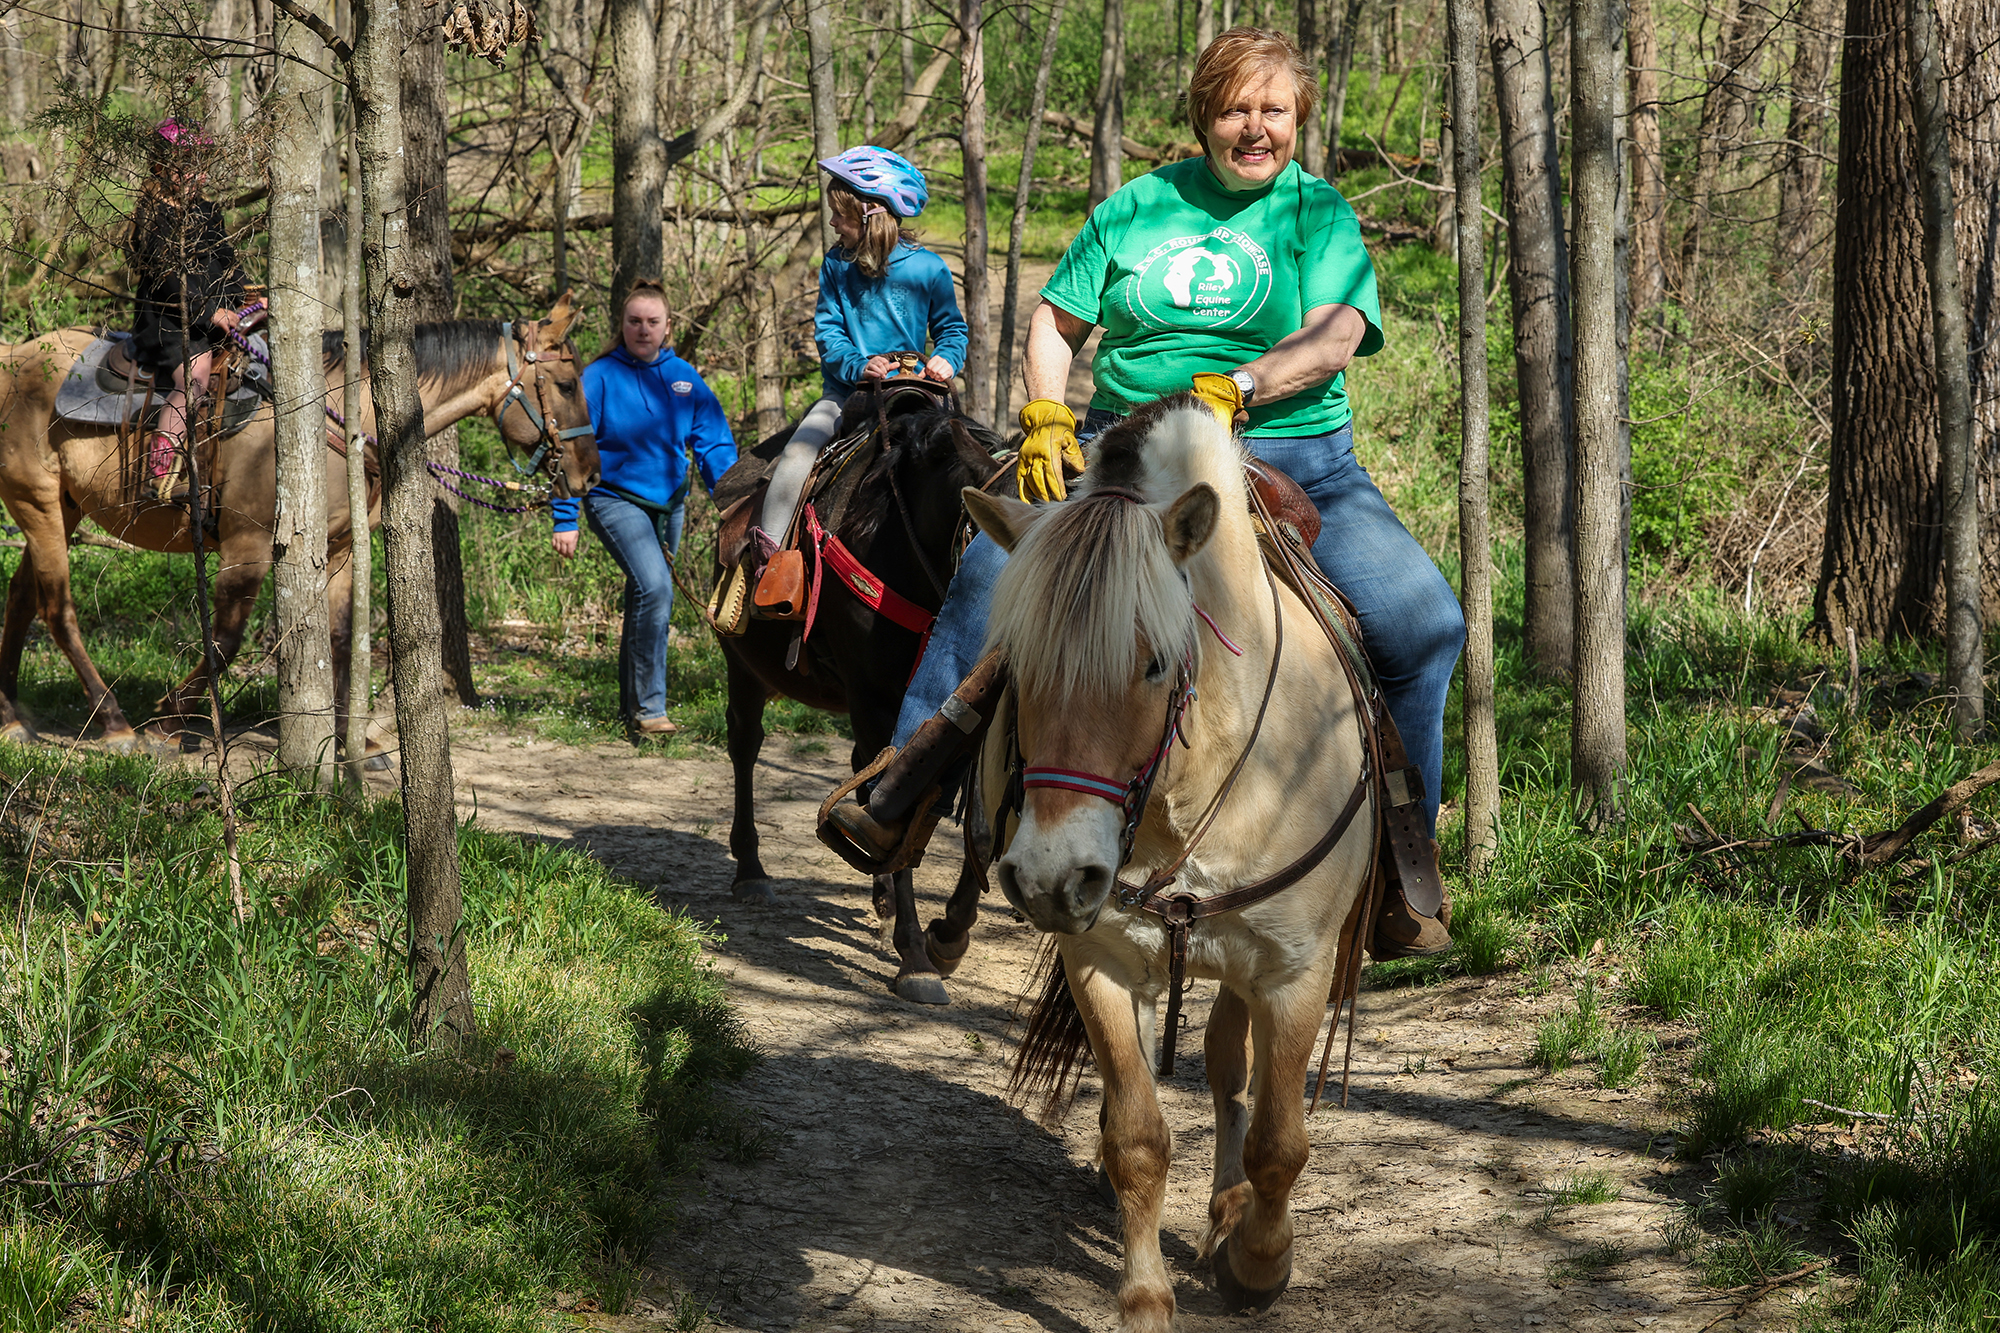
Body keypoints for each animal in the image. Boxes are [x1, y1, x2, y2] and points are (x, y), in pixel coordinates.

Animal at [0, 294, 596, 748]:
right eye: (567, 385)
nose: (587, 474)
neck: (337, 418)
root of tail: (15, 355)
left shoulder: (341, 550)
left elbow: (339, 637)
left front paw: (350, 742)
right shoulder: (246, 547)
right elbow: (226, 641)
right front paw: (169, 720)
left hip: (60, 509)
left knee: (22, 597)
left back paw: (12, 716)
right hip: (40, 504)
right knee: (57, 610)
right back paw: (116, 723)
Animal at [712, 378, 1008, 1000]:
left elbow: (971, 816)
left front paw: (948, 934)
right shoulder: (874, 699)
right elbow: (894, 799)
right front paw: (916, 956)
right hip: (745, 668)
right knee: (745, 747)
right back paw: (751, 871)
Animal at [972, 396, 1384, 1328]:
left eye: (1156, 661)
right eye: (1017, 664)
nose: (1050, 877)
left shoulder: (1295, 973)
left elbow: (1278, 1140)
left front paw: (1259, 1263)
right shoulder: (1098, 961)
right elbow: (1136, 1138)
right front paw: (1145, 1296)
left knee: (1235, 1064)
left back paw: (1231, 1214)